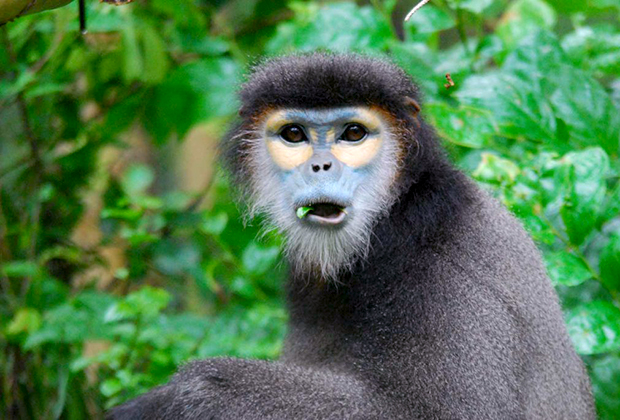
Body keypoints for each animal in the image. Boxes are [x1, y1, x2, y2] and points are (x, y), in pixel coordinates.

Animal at [106, 53, 596, 420]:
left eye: (353, 133)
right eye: (294, 134)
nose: (320, 166)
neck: (393, 219)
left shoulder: (443, 258)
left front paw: (178, 396)